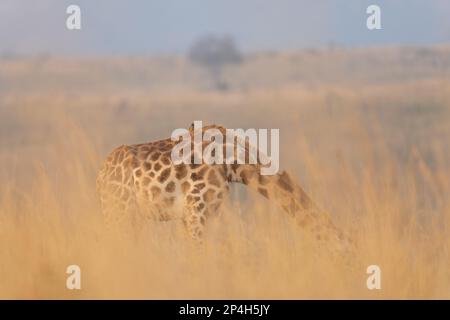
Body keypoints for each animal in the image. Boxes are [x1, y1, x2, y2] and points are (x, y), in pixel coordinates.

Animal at [96, 124, 356, 254]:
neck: (235, 163)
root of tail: (100, 177)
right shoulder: (196, 211)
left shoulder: (190, 216)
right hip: (118, 211)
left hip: (130, 217)